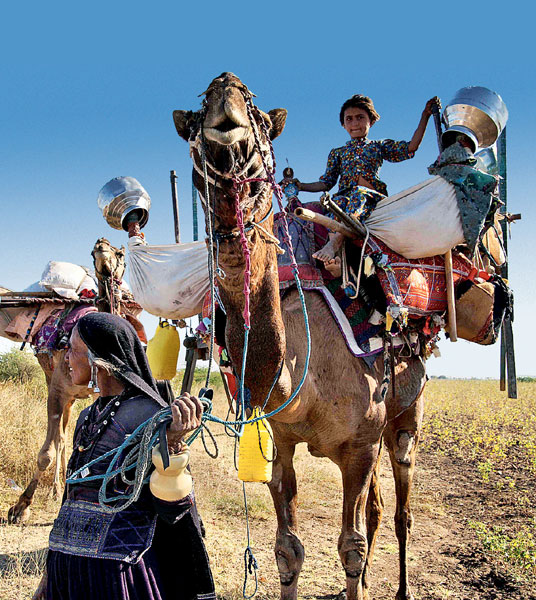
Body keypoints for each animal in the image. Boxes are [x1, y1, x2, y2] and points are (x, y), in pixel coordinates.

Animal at [3, 237, 128, 524]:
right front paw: (21, 506)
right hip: (53, 380)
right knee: (59, 437)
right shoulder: (58, 389)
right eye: (93, 252)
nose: (102, 244)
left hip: (72, 397)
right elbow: (46, 453)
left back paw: (57, 488)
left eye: (120, 255)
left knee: (64, 433)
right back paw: (54, 489)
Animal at [175, 74, 428, 600]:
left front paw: (359, 577)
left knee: (400, 507)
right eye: (191, 129)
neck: (301, 376)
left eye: (263, 124)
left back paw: (399, 588)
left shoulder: (360, 446)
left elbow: (350, 545)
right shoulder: (283, 439)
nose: (225, 91)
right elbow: (288, 548)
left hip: (403, 419)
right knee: (377, 509)